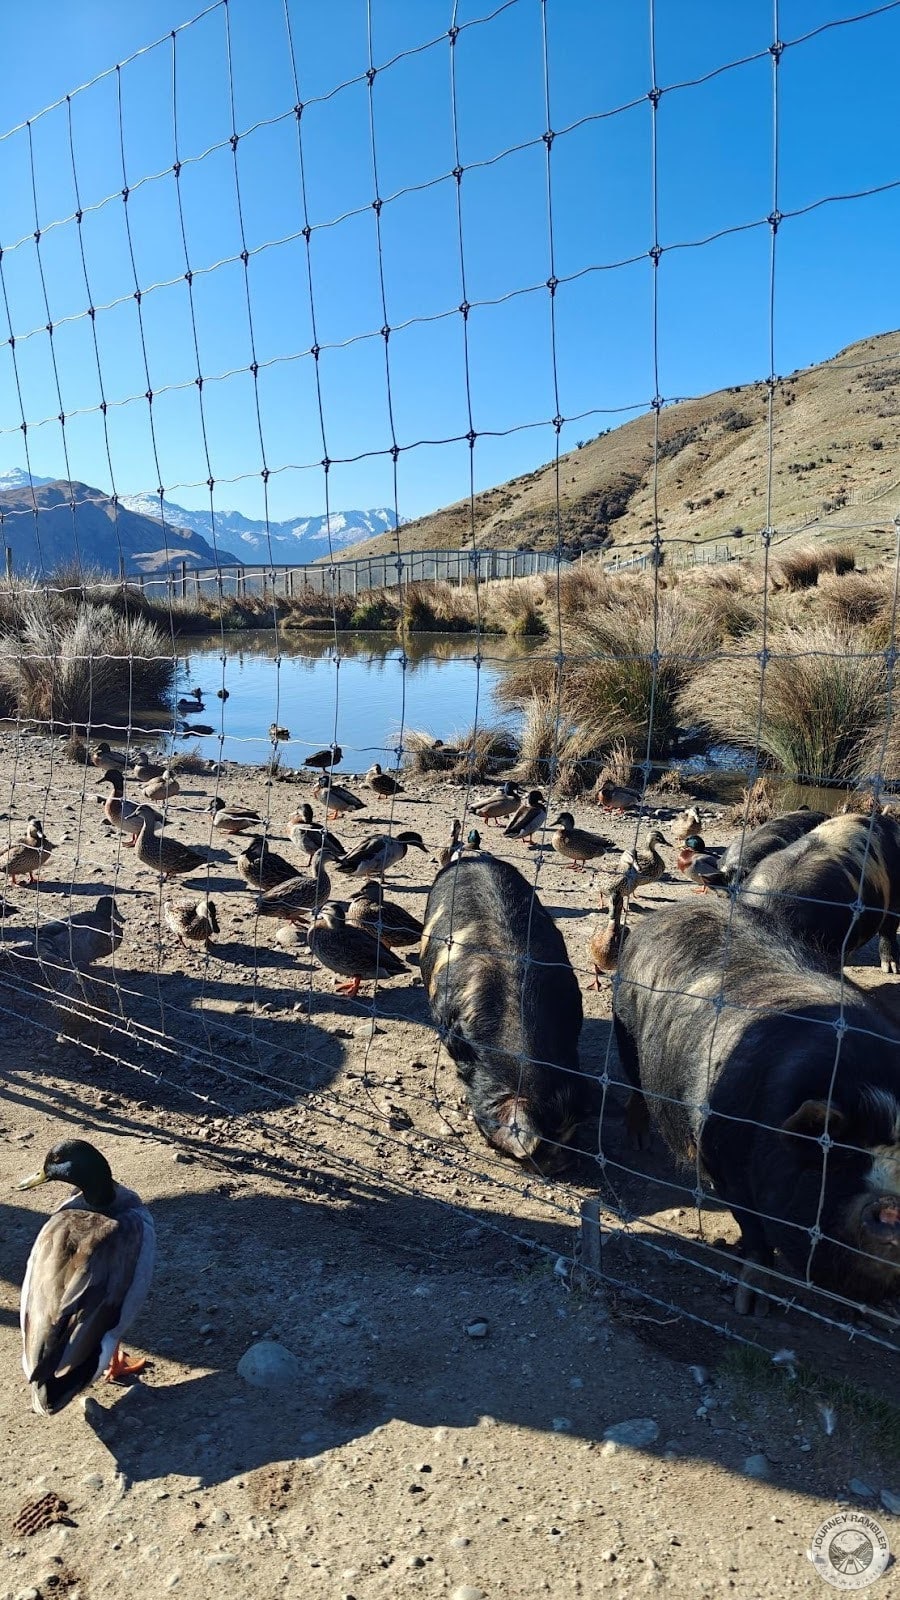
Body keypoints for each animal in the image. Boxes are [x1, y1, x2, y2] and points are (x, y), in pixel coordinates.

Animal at [613, 897, 900, 1310]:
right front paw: (751, 1306)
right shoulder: (722, 1159)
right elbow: (754, 1233)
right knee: (636, 1088)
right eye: (842, 1157)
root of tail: (668, 912)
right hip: (626, 1032)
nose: (892, 1206)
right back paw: (638, 1142)